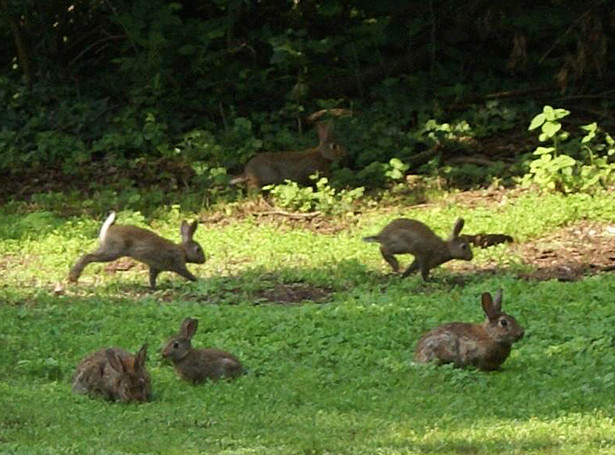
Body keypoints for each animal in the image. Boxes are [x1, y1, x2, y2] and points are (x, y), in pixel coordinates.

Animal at [68, 213, 206, 290]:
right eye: (198, 249)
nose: (204, 260)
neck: (183, 251)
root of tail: (108, 229)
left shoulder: (154, 267)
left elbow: (152, 278)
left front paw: (153, 288)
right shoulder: (178, 264)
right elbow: (187, 274)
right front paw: (198, 280)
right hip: (112, 251)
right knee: (88, 256)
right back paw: (74, 277)